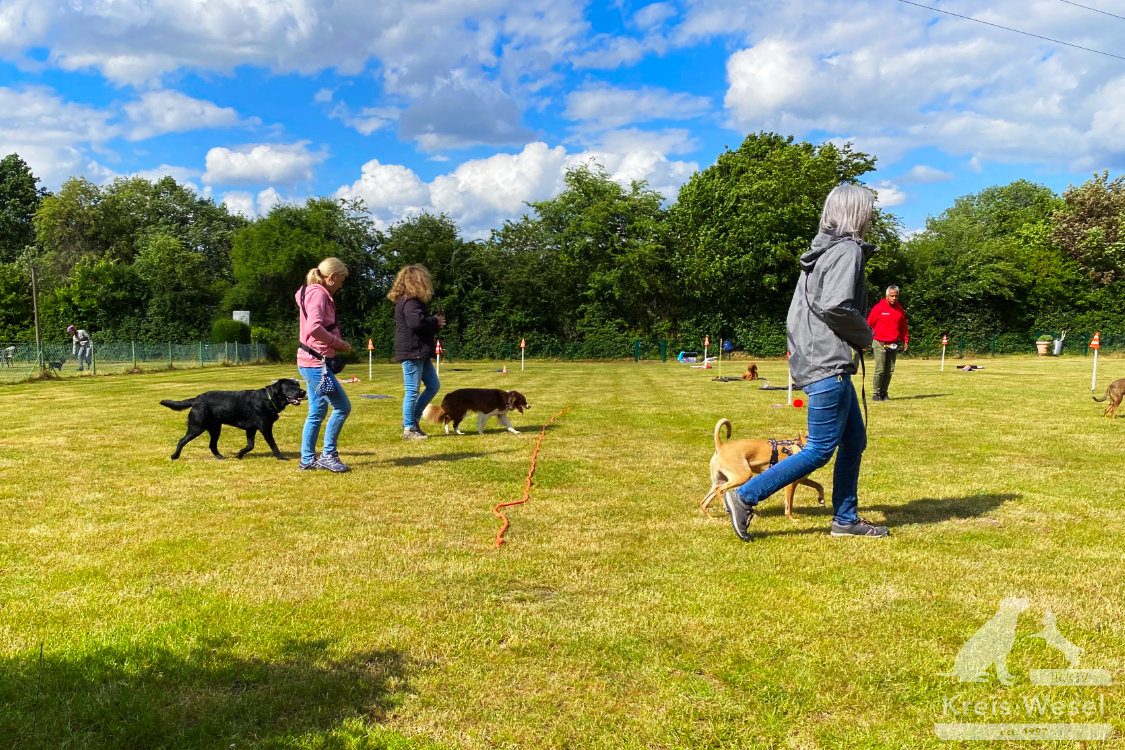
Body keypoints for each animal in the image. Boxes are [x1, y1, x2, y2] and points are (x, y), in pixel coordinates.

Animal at [160, 377, 306, 461]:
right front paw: (281, 457)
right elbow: (273, 445)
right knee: (182, 440)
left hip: (215, 428)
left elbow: (250, 445)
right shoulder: (265, 427)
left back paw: (220, 457)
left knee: (212, 445)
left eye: (298, 385)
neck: (269, 399)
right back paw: (174, 456)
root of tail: (196, 399)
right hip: (197, 427)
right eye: (291, 387)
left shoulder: (251, 428)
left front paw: (239, 455)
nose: (304, 392)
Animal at [693, 420, 828, 519]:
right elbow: (789, 504)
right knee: (719, 491)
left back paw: (712, 518)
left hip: (720, 480)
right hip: (743, 475)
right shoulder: (791, 483)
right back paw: (726, 507)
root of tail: (721, 446)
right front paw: (792, 519)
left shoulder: (802, 479)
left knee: (704, 501)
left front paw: (821, 500)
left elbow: (819, 486)